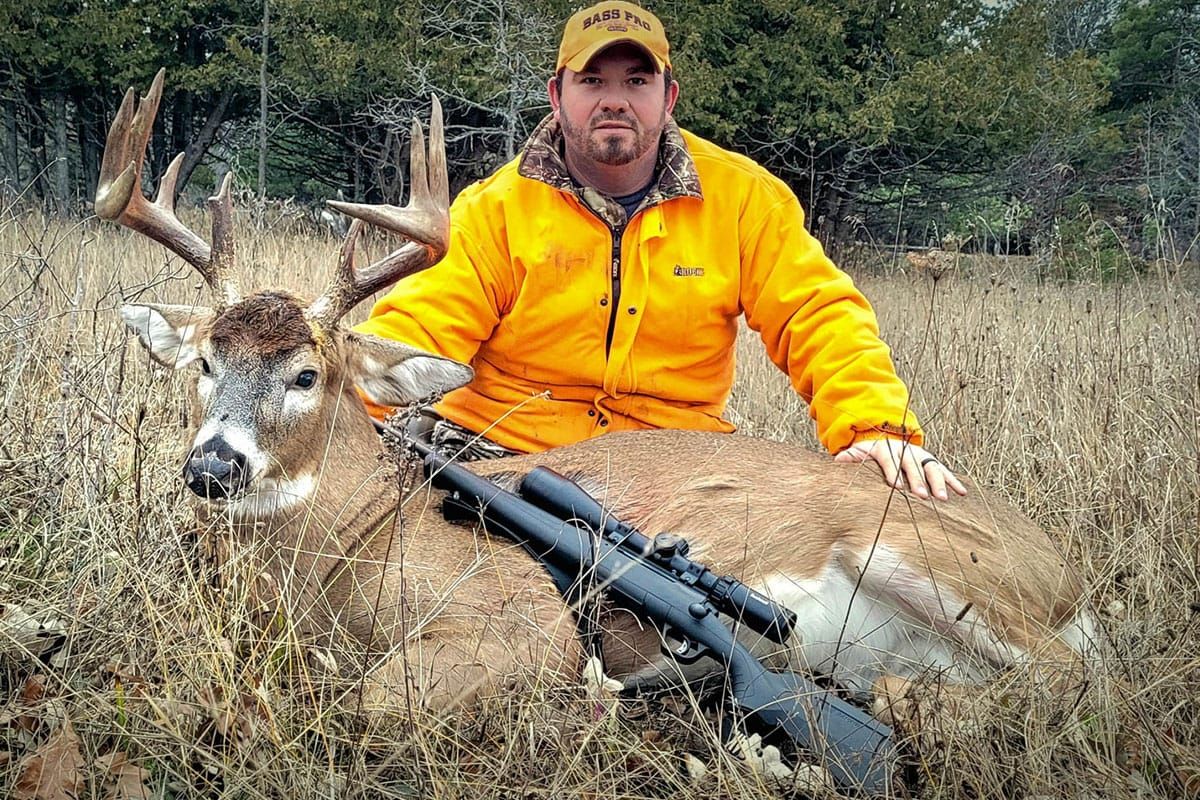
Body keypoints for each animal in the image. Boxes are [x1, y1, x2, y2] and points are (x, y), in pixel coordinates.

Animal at [99, 70, 1099, 758]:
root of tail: (1068, 576)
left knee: (1081, 680)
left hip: (931, 560)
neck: (350, 546)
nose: (212, 465)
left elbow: (370, 700)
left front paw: (588, 695)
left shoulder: (518, 615)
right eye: (203, 362)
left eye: (308, 374)